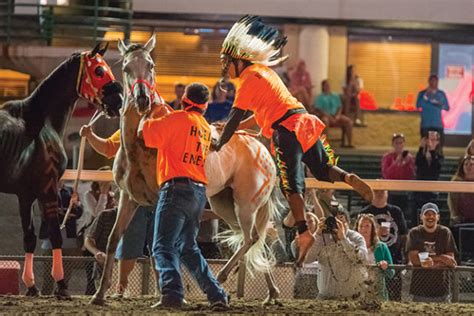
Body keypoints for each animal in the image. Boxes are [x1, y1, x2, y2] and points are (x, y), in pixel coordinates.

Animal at [0, 43, 124, 298]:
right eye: (99, 70)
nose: (117, 101)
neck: (40, 123)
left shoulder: (26, 195)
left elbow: (29, 237)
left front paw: (31, 286)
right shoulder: (47, 189)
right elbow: (55, 235)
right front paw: (61, 286)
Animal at [92, 35, 284, 304]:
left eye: (151, 65)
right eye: (127, 68)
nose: (142, 100)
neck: (139, 145)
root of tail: (262, 150)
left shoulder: (159, 201)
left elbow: (158, 245)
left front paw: (166, 293)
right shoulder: (128, 198)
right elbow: (113, 240)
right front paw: (100, 294)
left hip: (246, 205)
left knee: (252, 238)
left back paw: (223, 277)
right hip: (224, 206)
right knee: (258, 239)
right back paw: (272, 292)